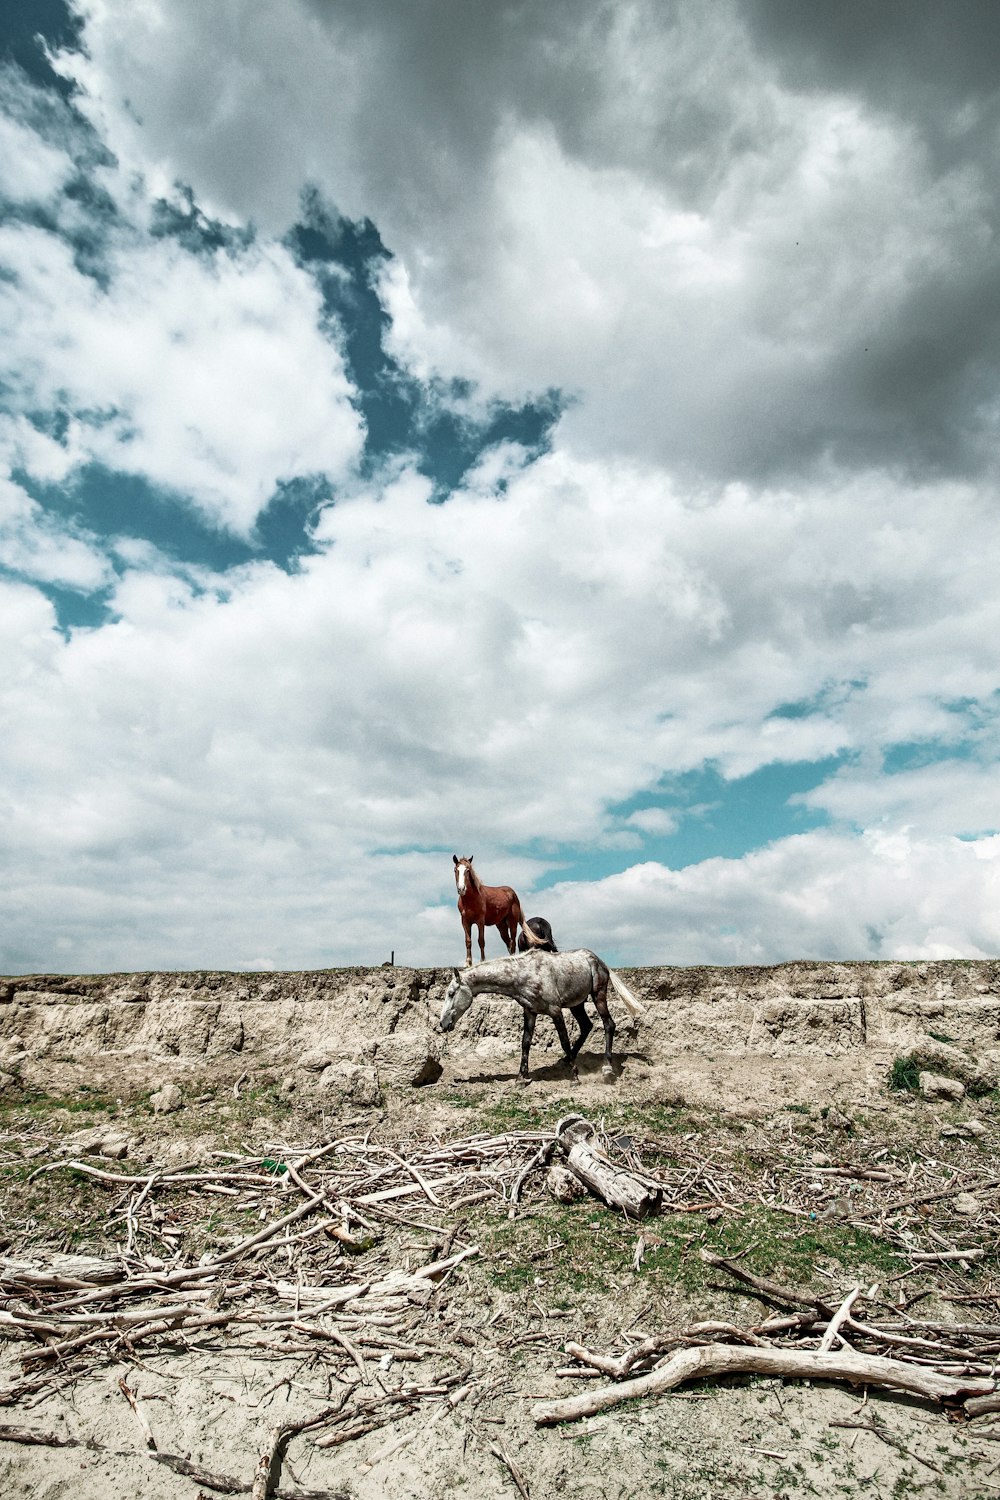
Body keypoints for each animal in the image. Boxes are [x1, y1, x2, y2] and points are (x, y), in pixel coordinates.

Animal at [440, 954, 644, 1086]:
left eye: (451, 993)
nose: (442, 1024)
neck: (523, 973)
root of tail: (601, 962)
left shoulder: (555, 1011)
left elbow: (564, 1041)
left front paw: (574, 1078)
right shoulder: (530, 1012)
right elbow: (525, 1042)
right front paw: (521, 1078)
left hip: (598, 995)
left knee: (609, 1024)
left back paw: (607, 1069)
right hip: (577, 1004)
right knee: (587, 1026)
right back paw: (565, 1061)